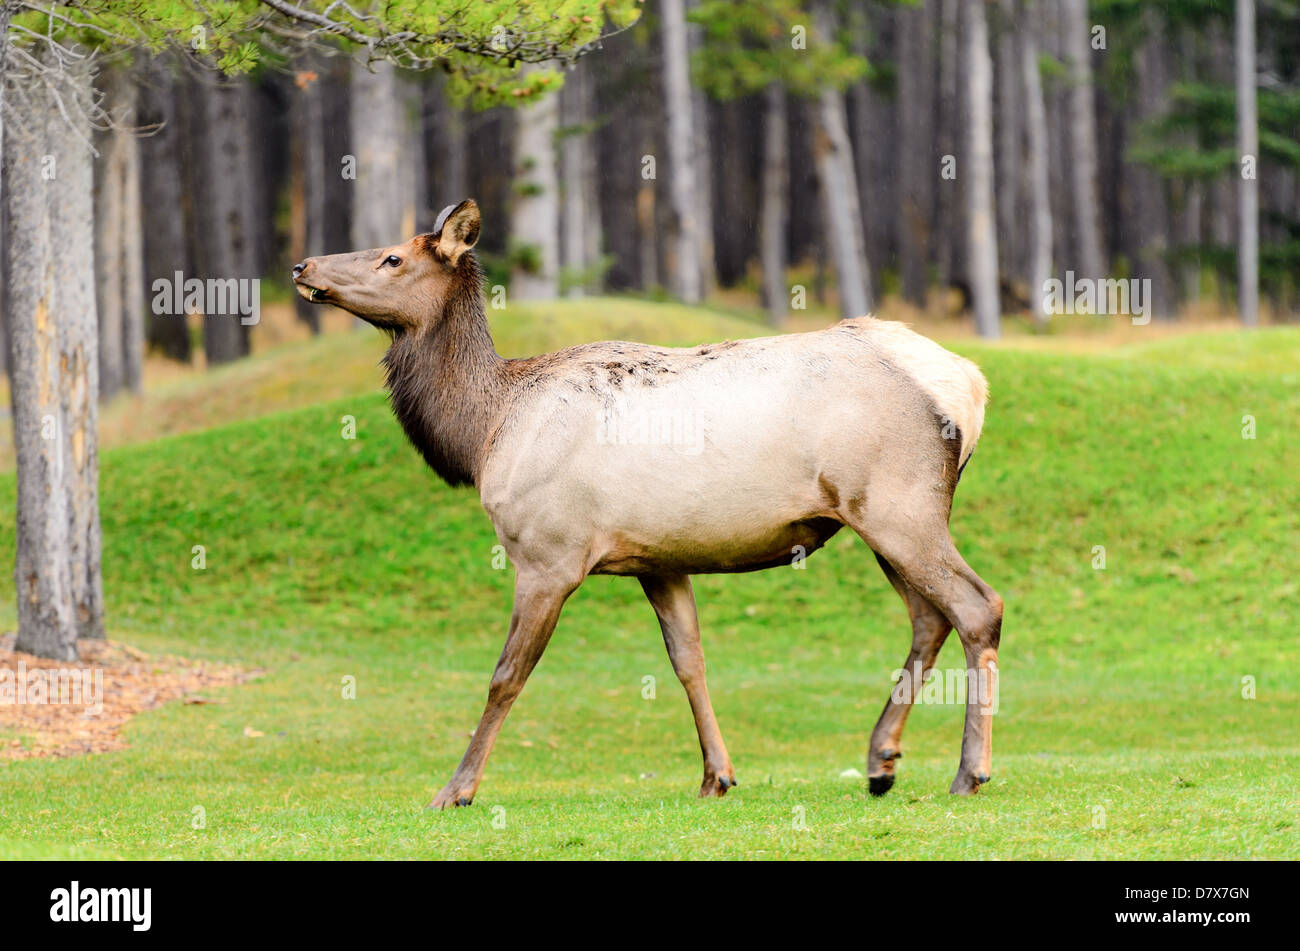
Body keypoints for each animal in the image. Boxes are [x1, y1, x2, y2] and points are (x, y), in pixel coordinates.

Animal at [292, 199, 1002, 809]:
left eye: (392, 258)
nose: (303, 266)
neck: (484, 433)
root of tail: (971, 385)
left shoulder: (548, 554)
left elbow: (506, 674)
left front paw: (455, 789)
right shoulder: (659, 558)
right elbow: (689, 660)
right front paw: (717, 775)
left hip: (897, 503)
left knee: (977, 606)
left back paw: (969, 772)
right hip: (874, 516)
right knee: (927, 616)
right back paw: (881, 760)